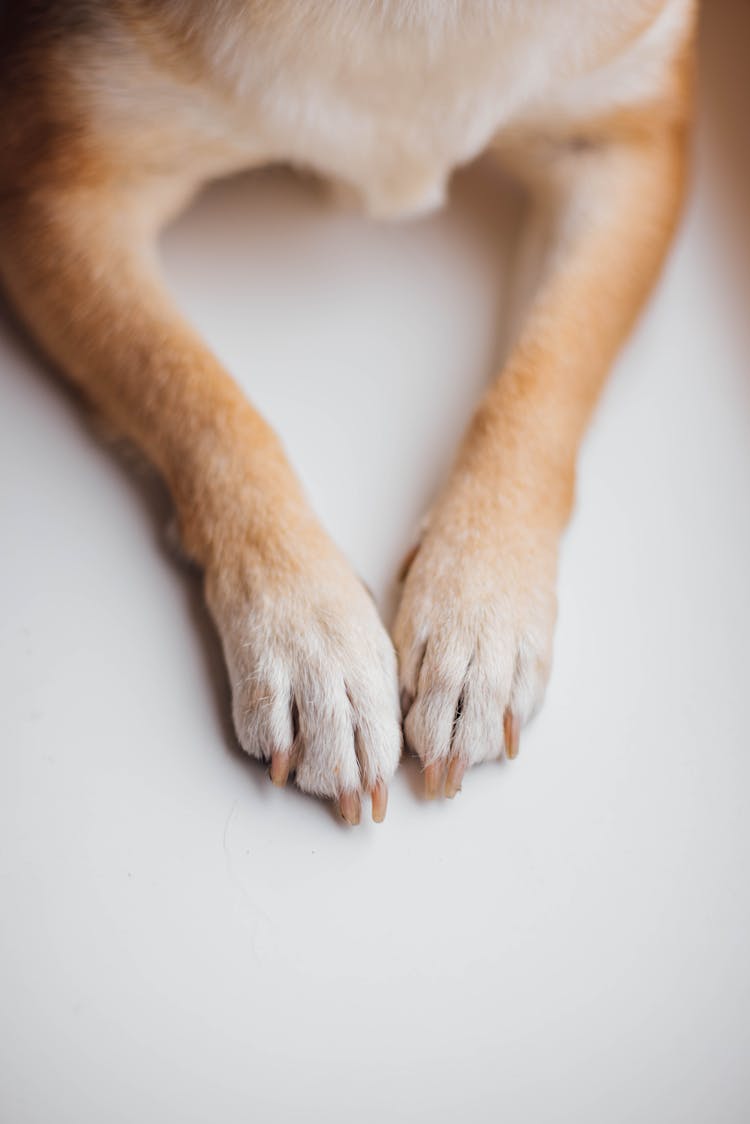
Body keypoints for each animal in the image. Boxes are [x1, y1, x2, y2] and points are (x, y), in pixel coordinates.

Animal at [0, 0, 697, 827]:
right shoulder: (58, 197)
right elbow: (202, 401)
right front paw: (310, 640)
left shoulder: (623, 143)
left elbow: (543, 378)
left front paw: (480, 612)